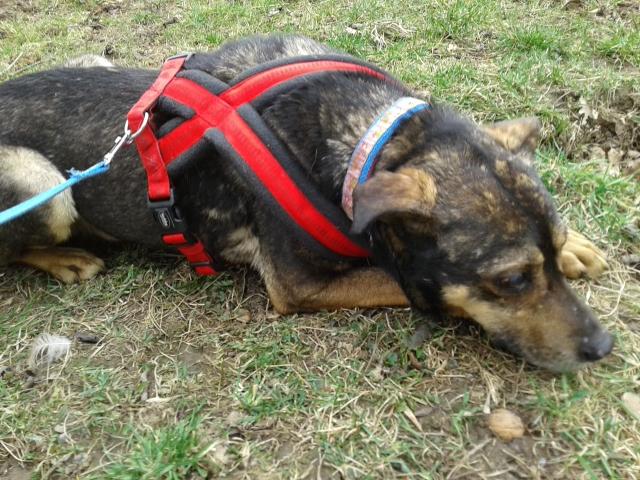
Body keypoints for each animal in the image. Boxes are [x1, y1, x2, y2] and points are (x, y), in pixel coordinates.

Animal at [0, 35, 612, 372]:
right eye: (510, 281)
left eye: (550, 256)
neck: (376, 139)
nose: (603, 346)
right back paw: (68, 259)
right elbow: (403, 281)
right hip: (43, 183)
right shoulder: (300, 285)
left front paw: (577, 246)